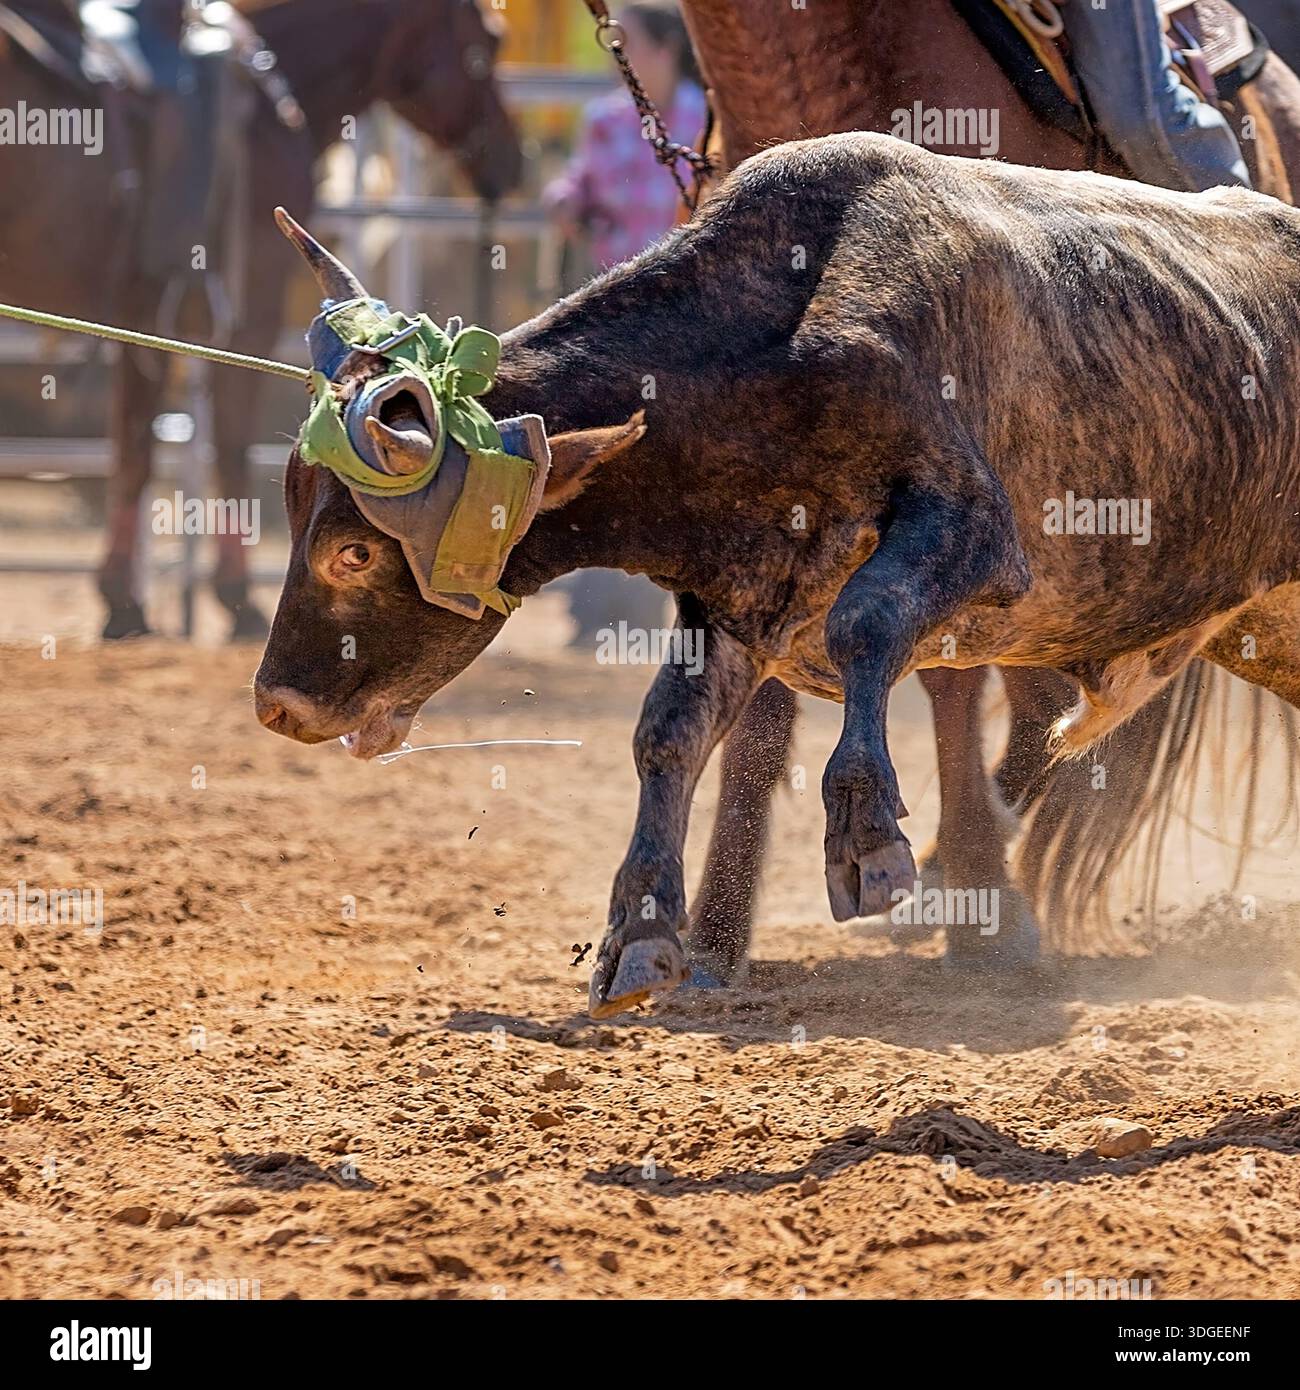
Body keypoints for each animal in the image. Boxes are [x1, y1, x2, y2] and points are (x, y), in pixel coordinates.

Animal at [254, 132, 1300, 1018]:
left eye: (352, 549)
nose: (276, 705)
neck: (775, 339)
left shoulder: (974, 529)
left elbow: (866, 622)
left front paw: (869, 836)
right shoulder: (737, 603)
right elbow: (668, 731)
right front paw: (640, 934)